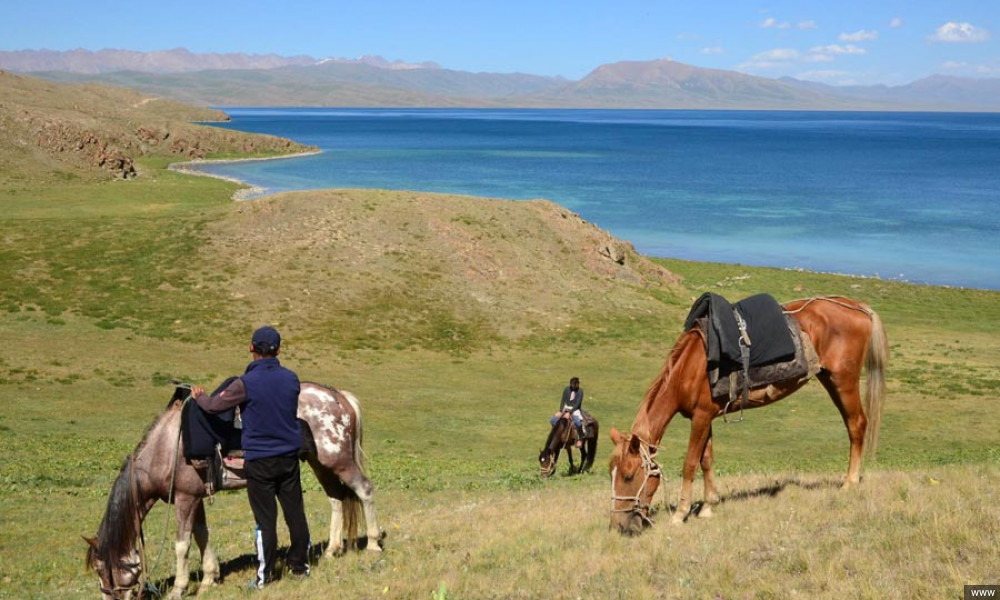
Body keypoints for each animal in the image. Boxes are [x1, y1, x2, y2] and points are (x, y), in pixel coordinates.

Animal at [84, 382, 382, 596]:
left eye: (103, 570)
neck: (165, 448)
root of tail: (338, 396)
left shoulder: (185, 499)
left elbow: (182, 544)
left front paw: (180, 588)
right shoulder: (197, 497)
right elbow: (202, 535)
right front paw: (209, 579)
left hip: (339, 461)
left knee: (365, 490)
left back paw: (374, 544)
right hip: (320, 463)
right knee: (336, 498)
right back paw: (332, 550)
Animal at [604, 296, 888, 536]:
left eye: (629, 476)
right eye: (611, 474)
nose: (618, 526)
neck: (690, 367)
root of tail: (857, 307)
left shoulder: (700, 417)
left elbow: (690, 463)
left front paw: (680, 514)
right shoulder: (706, 416)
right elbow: (707, 460)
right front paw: (707, 507)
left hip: (843, 381)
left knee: (856, 424)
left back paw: (849, 483)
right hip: (830, 379)